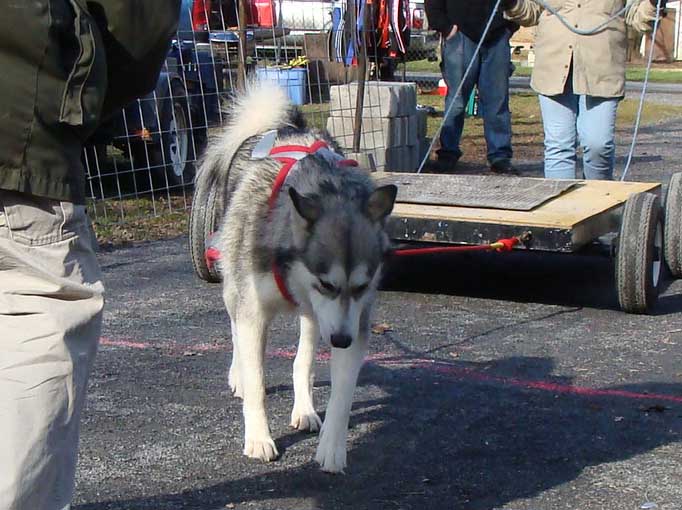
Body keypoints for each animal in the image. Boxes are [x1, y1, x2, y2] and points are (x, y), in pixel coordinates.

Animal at [194, 81, 396, 472]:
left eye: (361, 286)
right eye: (326, 283)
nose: (341, 340)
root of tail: (286, 128)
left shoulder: (353, 322)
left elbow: (340, 393)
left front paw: (332, 446)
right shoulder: (255, 314)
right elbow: (256, 380)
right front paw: (258, 437)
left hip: (314, 319)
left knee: (303, 360)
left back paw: (304, 408)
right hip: (233, 284)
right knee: (234, 328)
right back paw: (237, 373)